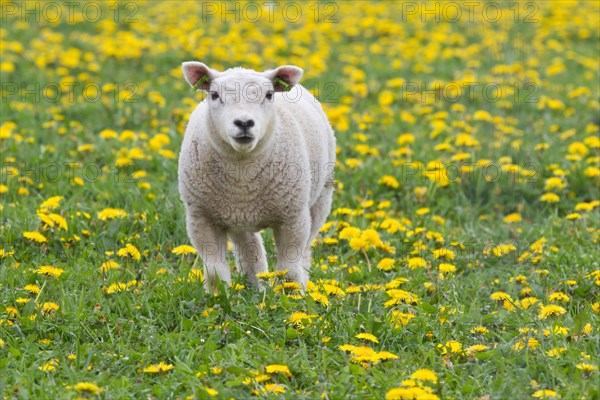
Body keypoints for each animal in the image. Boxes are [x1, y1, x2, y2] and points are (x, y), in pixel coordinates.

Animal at [178, 61, 338, 292]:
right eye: (214, 95)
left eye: (269, 95)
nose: (244, 123)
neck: (242, 175)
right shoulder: (201, 217)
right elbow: (215, 271)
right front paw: (217, 297)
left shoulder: (293, 217)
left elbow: (289, 268)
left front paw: (292, 296)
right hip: (233, 216)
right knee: (249, 247)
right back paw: (256, 285)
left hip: (321, 197)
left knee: (306, 248)